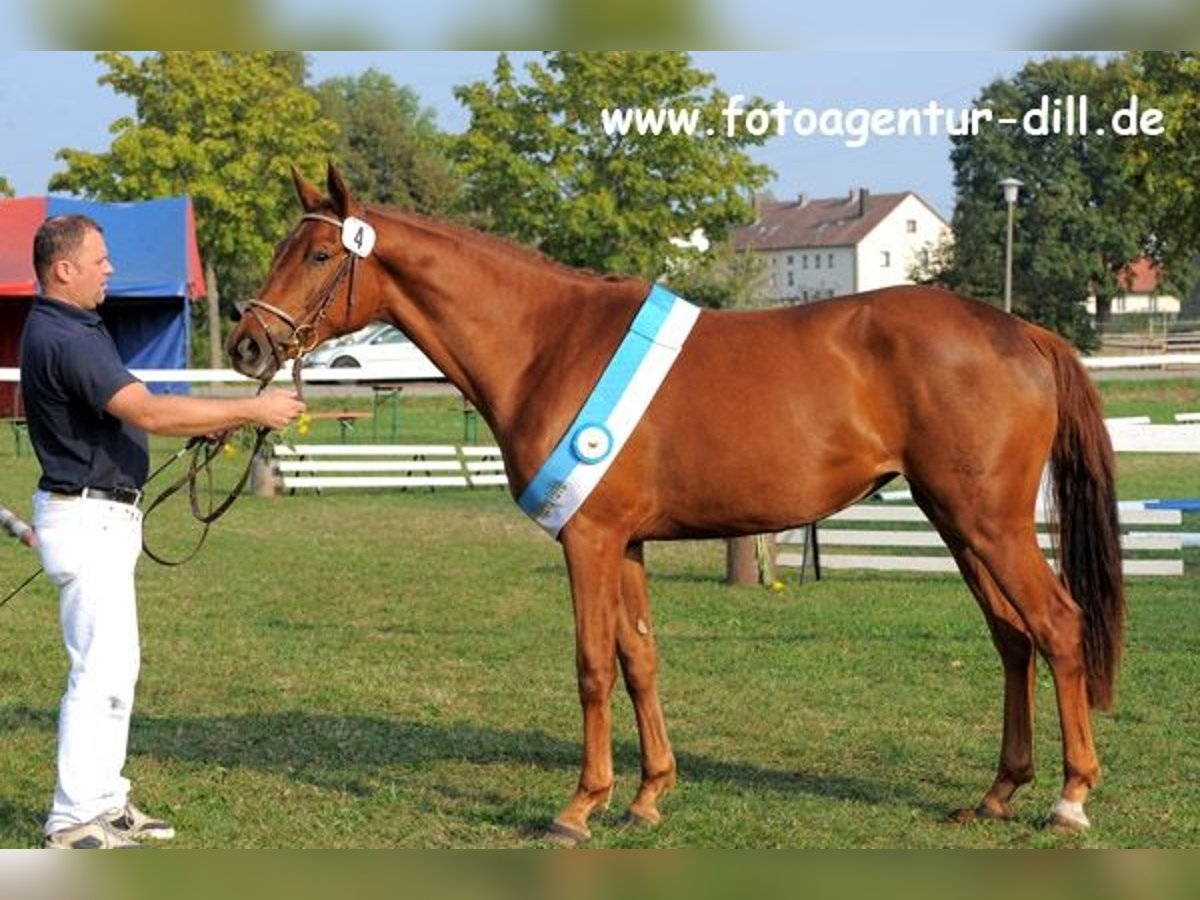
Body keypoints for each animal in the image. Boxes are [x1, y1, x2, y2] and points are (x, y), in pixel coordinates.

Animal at [226, 165, 1123, 844]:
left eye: (317, 254)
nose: (247, 344)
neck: (548, 343)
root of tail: (1021, 332)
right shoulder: (623, 539)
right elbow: (640, 659)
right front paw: (648, 794)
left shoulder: (587, 537)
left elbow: (592, 665)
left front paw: (579, 807)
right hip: (958, 524)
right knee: (1012, 639)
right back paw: (999, 793)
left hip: (989, 524)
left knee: (1057, 626)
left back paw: (1070, 799)